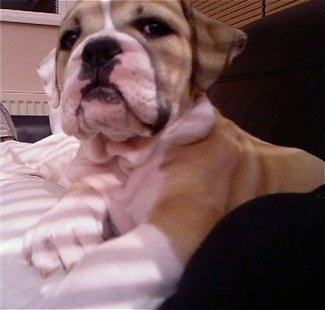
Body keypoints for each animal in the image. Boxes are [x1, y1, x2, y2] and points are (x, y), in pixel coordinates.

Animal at [22, 0, 322, 308]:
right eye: (70, 38)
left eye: (154, 27)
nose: (97, 49)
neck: (125, 154)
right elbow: (82, 188)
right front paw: (60, 230)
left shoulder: (179, 220)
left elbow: (102, 268)